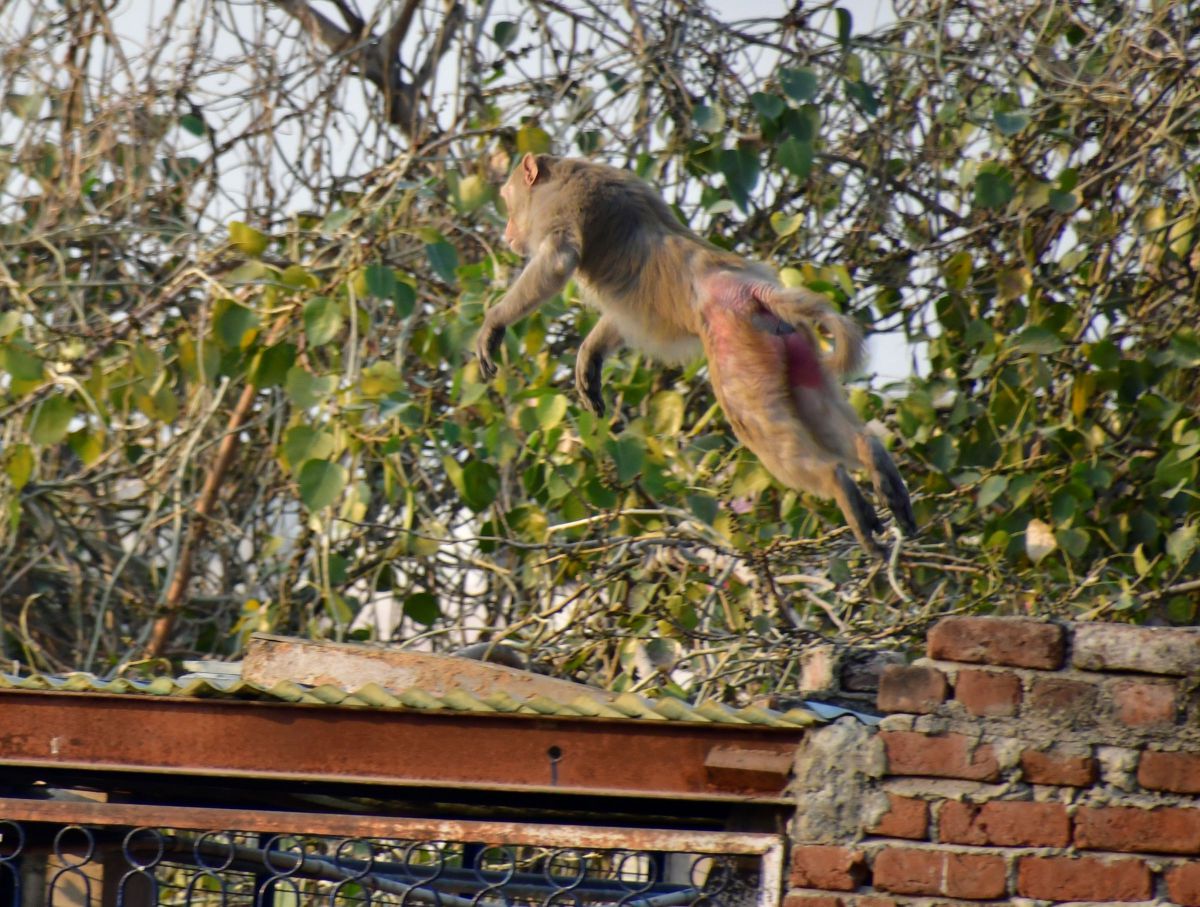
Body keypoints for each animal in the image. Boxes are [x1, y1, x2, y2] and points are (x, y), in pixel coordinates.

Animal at [476, 153, 916, 556]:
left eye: (509, 200)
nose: (508, 231)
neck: (567, 170)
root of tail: (749, 288)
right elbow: (620, 318)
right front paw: (590, 356)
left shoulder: (559, 205)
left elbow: (557, 260)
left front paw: (494, 323)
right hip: (794, 345)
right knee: (816, 408)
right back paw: (875, 460)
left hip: (735, 348)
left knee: (760, 427)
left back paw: (837, 483)